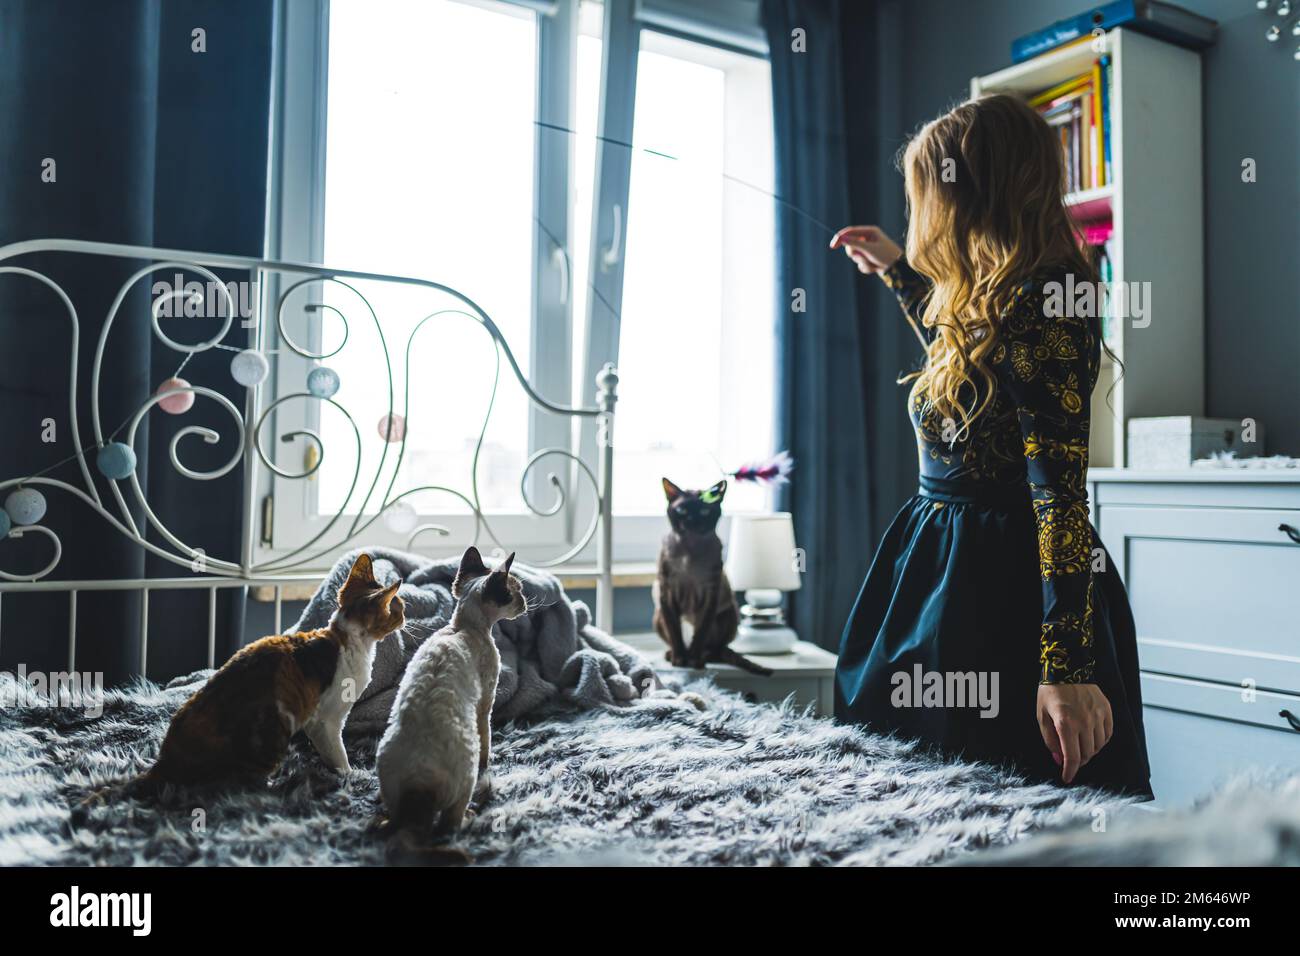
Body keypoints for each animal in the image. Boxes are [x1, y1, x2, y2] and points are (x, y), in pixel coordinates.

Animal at [374, 546, 525, 837]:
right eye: (517, 591)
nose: (525, 603)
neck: (462, 627)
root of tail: (418, 778)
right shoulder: (486, 702)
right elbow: (488, 741)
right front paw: (490, 761)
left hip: (386, 765)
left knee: (397, 818)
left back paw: (382, 820)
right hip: (465, 774)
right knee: (450, 822)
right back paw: (469, 816)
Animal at [650, 476, 769, 676]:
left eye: (704, 511)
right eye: (682, 510)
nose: (692, 520)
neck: (690, 550)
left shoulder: (709, 595)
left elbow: (700, 634)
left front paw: (694, 662)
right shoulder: (667, 594)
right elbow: (675, 634)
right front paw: (679, 661)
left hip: (729, 615)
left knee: (716, 649)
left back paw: (703, 657)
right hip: (659, 614)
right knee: (683, 642)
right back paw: (672, 655)